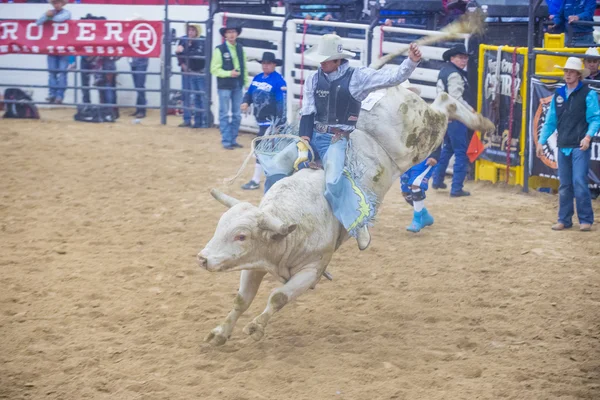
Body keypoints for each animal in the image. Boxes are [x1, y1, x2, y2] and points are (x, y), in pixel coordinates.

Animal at [198, 86, 492, 346]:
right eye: (219, 227)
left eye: (241, 235)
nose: (202, 258)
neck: (292, 221)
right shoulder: (255, 264)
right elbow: (241, 300)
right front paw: (219, 333)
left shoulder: (311, 270)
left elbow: (278, 297)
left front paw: (256, 327)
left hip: (423, 136)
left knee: (444, 104)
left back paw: (481, 122)